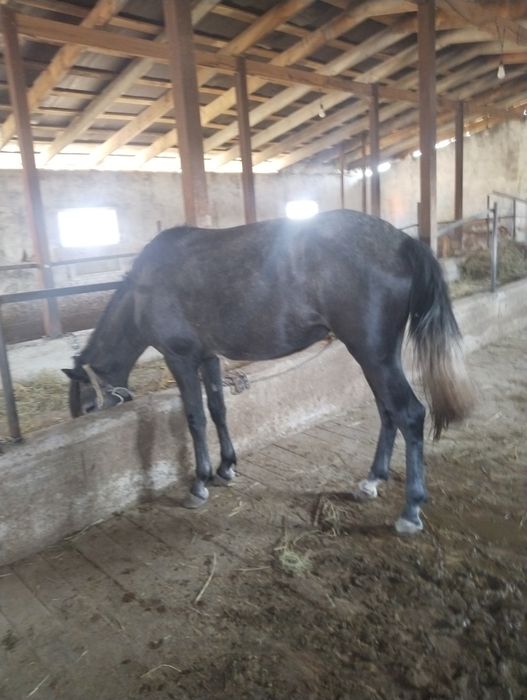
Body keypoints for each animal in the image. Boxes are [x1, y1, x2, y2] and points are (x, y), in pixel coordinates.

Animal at [63, 209, 474, 534]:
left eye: (87, 407)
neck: (143, 291)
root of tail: (401, 242)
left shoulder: (180, 359)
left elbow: (195, 417)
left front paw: (199, 483)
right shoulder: (209, 358)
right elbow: (218, 409)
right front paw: (226, 468)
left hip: (374, 355)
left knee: (409, 413)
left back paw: (410, 511)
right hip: (378, 356)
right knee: (388, 412)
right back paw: (372, 481)